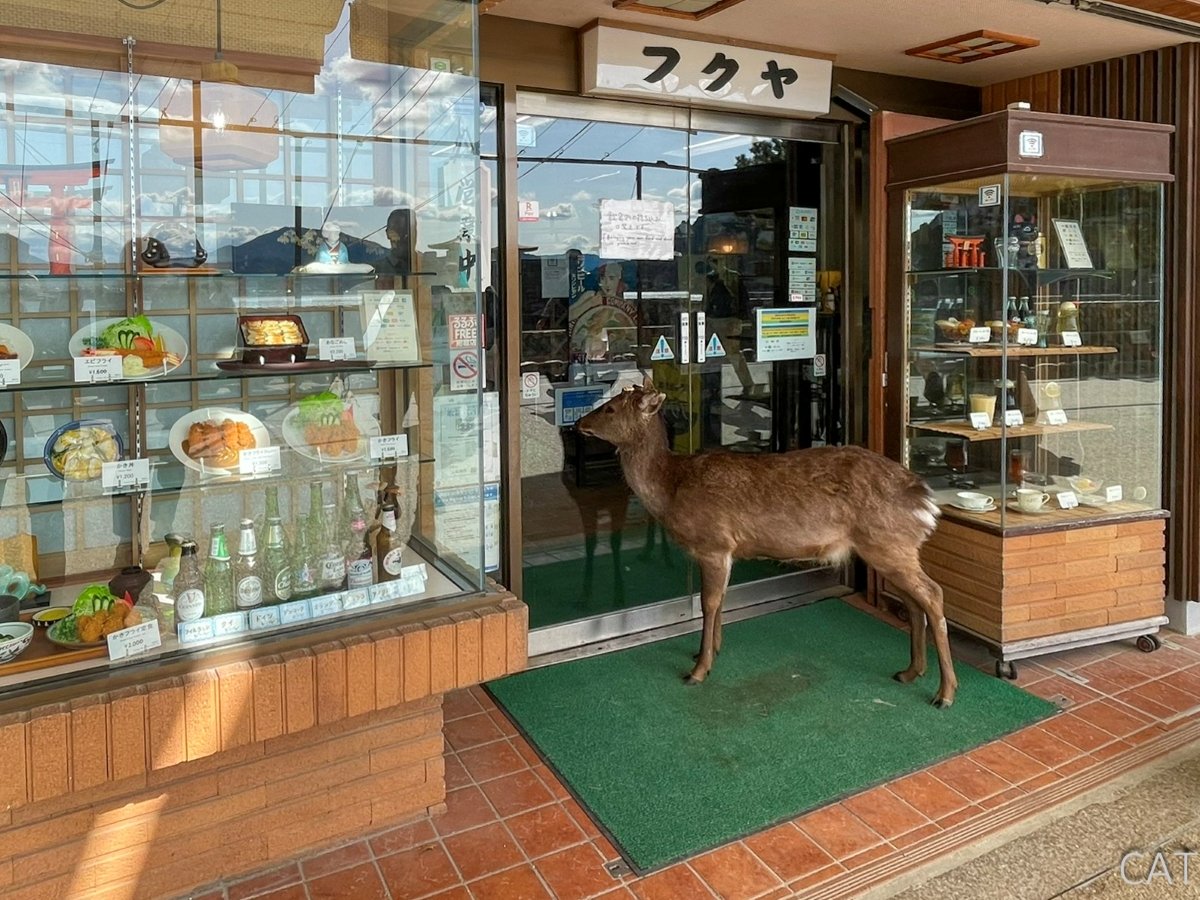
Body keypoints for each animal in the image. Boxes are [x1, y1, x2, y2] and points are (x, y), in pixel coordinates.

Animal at [575, 376, 958, 708]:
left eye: (611, 408)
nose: (578, 422)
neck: (672, 487)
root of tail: (925, 500)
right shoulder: (727, 551)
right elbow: (721, 600)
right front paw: (710, 651)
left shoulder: (713, 542)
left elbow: (708, 603)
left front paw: (698, 670)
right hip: (889, 549)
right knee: (914, 602)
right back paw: (910, 672)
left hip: (887, 544)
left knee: (934, 594)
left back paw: (945, 693)